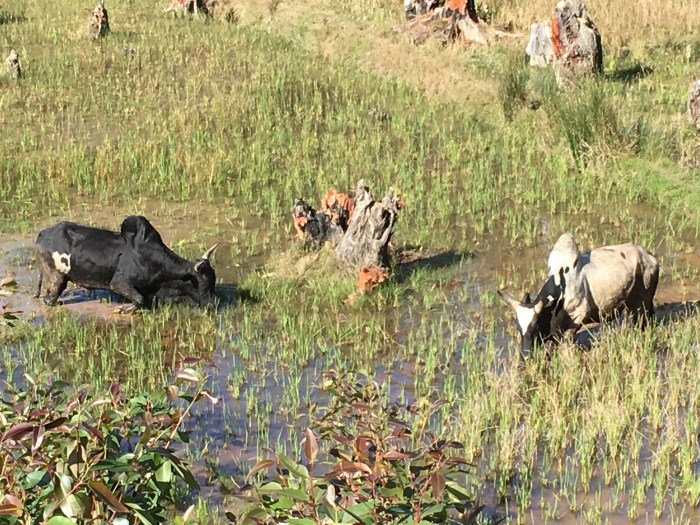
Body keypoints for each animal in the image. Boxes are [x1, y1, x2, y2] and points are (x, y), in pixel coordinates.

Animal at [34, 215, 218, 312]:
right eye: (202, 283)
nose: (212, 304)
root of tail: (43, 234)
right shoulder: (119, 283)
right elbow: (139, 300)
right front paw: (123, 309)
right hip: (57, 276)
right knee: (49, 297)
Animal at [499, 233, 659, 353]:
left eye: (536, 327)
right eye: (518, 328)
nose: (525, 355)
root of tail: (648, 255)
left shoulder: (578, 316)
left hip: (642, 304)